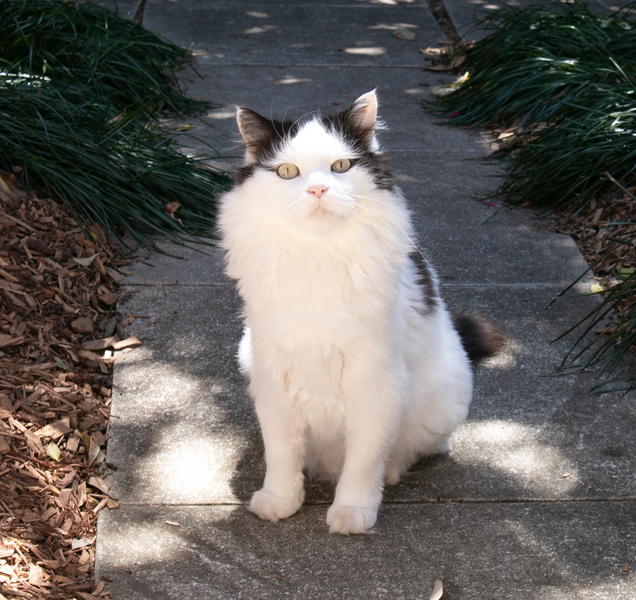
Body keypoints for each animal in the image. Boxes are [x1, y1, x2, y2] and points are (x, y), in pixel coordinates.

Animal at [217, 90, 502, 536]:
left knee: (421, 447)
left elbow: (364, 458)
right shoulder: (273, 375)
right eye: (287, 171)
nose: (318, 189)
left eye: (340, 167)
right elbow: (281, 452)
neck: (318, 260)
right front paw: (280, 500)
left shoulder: (375, 381)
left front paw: (353, 511)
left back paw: (391, 472)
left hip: (446, 394)